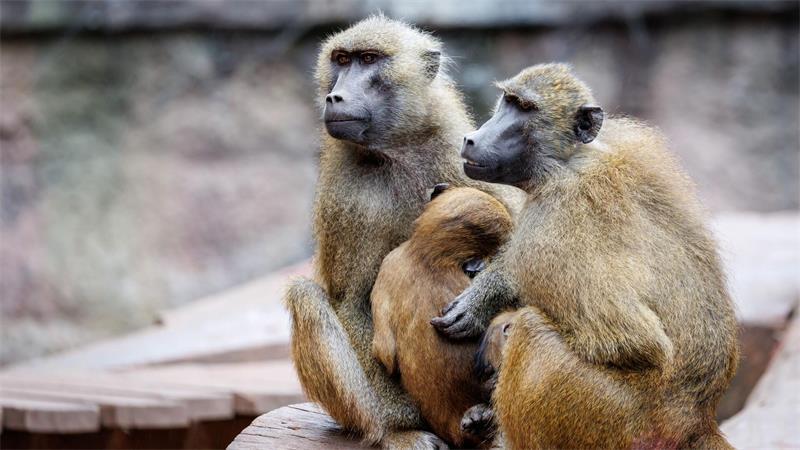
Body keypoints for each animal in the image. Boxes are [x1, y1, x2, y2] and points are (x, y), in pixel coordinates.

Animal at [431, 63, 739, 449]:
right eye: (507, 101)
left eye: (526, 108)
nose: (472, 139)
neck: (567, 161)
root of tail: (696, 420)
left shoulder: (551, 226)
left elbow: (634, 342)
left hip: (616, 418)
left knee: (530, 331)